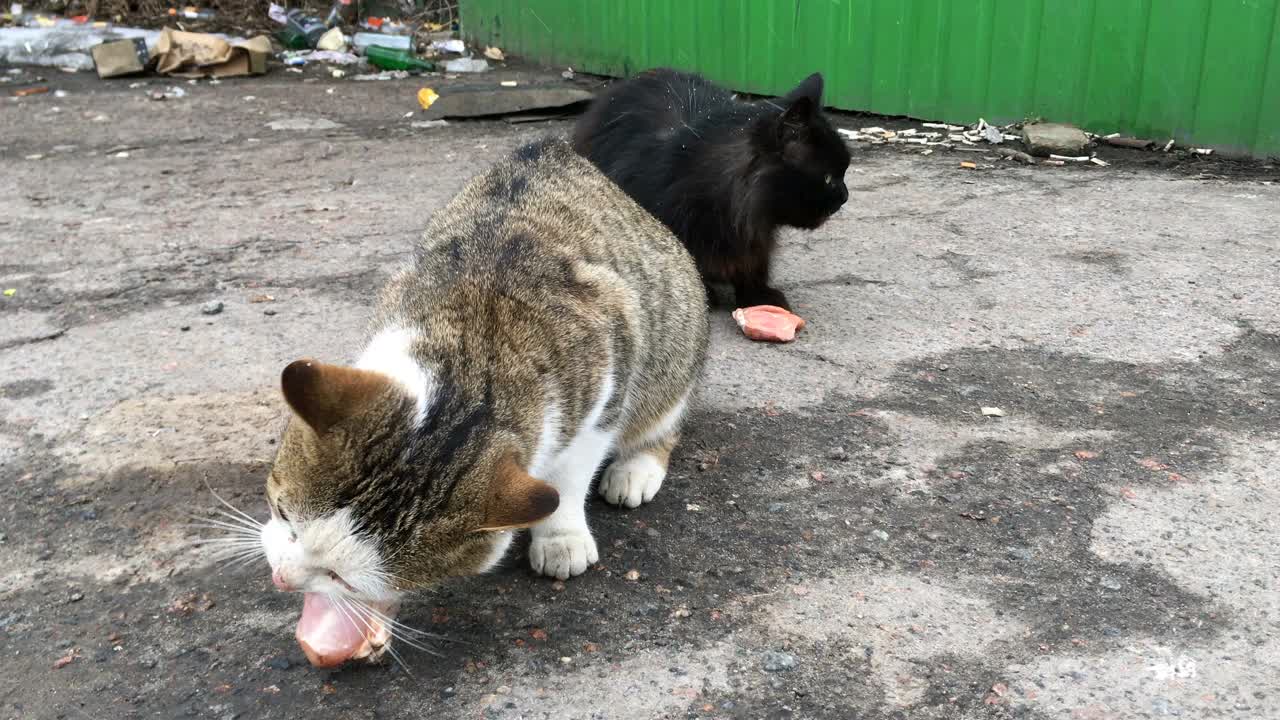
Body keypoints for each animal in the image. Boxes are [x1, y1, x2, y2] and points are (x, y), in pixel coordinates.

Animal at [259, 137, 711, 666]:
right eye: (284, 516)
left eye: (343, 579)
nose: (282, 579)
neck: (470, 365)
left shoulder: (607, 375)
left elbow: (571, 474)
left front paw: (561, 533)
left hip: (675, 336)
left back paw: (638, 466)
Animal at [570, 67, 849, 311]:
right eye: (828, 178)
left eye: (844, 171)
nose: (845, 197)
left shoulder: (757, 237)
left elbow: (754, 264)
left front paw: (756, 293)